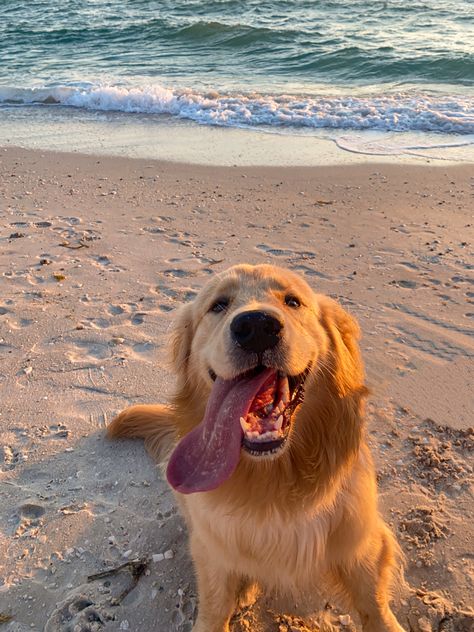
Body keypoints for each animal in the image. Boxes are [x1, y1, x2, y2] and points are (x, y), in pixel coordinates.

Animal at [107, 262, 404, 632]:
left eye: (293, 301)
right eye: (219, 305)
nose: (257, 327)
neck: (273, 484)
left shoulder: (362, 543)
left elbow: (373, 604)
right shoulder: (212, 550)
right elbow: (215, 606)